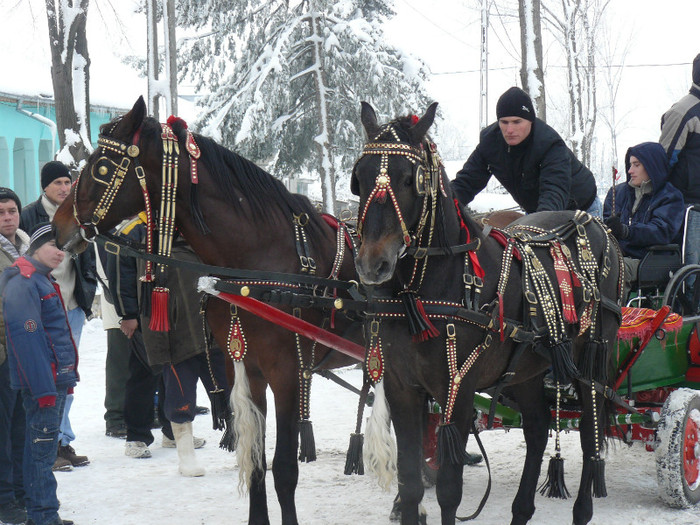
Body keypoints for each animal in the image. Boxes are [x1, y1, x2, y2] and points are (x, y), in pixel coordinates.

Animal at [53, 97, 360, 524]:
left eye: (101, 168)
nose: (57, 225)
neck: (257, 263)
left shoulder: (288, 373)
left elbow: (283, 468)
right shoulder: (244, 367)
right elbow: (256, 461)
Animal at [352, 102, 620, 524]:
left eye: (411, 179)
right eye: (360, 177)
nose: (372, 264)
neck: (425, 291)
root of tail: (593, 223)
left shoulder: (457, 391)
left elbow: (448, 490)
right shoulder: (401, 389)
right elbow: (410, 484)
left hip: (591, 361)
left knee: (591, 434)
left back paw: (582, 509)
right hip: (527, 367)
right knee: (538, 429)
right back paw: (522, 509)